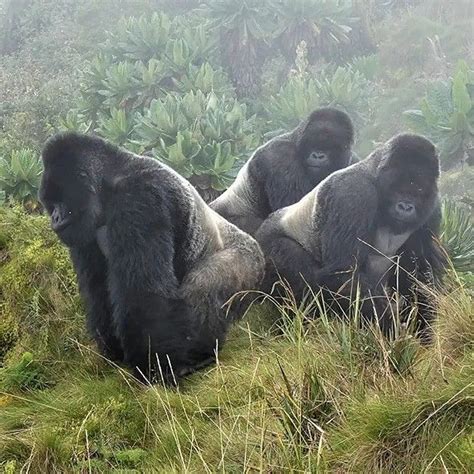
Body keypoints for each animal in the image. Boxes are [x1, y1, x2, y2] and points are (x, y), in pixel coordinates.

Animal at [39, 131, 264, 384]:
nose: (55, 218)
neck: (109, 181)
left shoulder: (140, 196)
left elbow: (143, 296)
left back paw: (199, 355)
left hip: (249, 264)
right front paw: (114, 351)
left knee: (202, 287)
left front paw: (157, 368)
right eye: (51, 204)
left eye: (61, 202)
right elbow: (97, 290)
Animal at [256, 133, 444, 338]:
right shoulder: (353, 195)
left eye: (418, 190)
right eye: (398, 188)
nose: (405, 206)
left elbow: (420, 275)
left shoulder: (432, 208)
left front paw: (424, 332)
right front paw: (390, 329)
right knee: (289, 256)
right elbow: (344, 273)